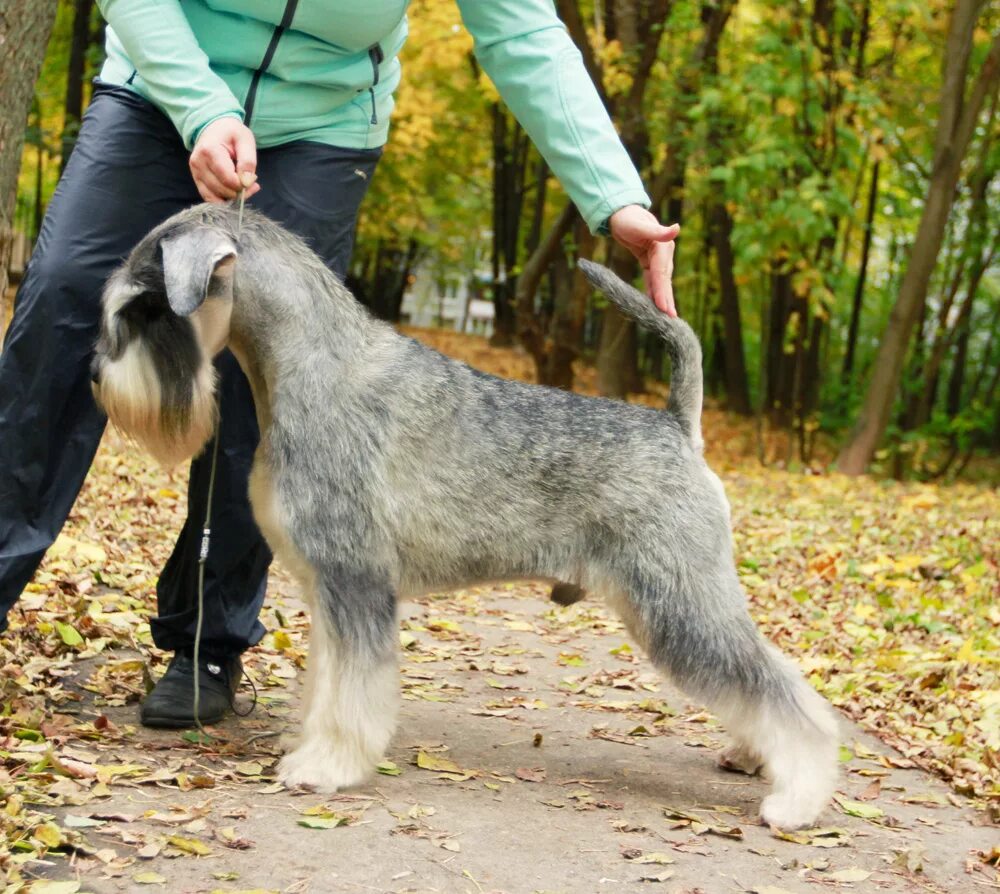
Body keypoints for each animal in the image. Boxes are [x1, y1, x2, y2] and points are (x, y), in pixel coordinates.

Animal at [94, 205, 840, 832]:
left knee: (780, 690)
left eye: (146, 303)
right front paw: (308, 744)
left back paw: (797, 799)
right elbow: (328, 682)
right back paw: (752, 758)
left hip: (679, 600)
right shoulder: (331, 591)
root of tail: (678, 426)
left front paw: (326, 767)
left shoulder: (356, 582)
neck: (307, 365)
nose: (99, 376)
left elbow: (355, 692)